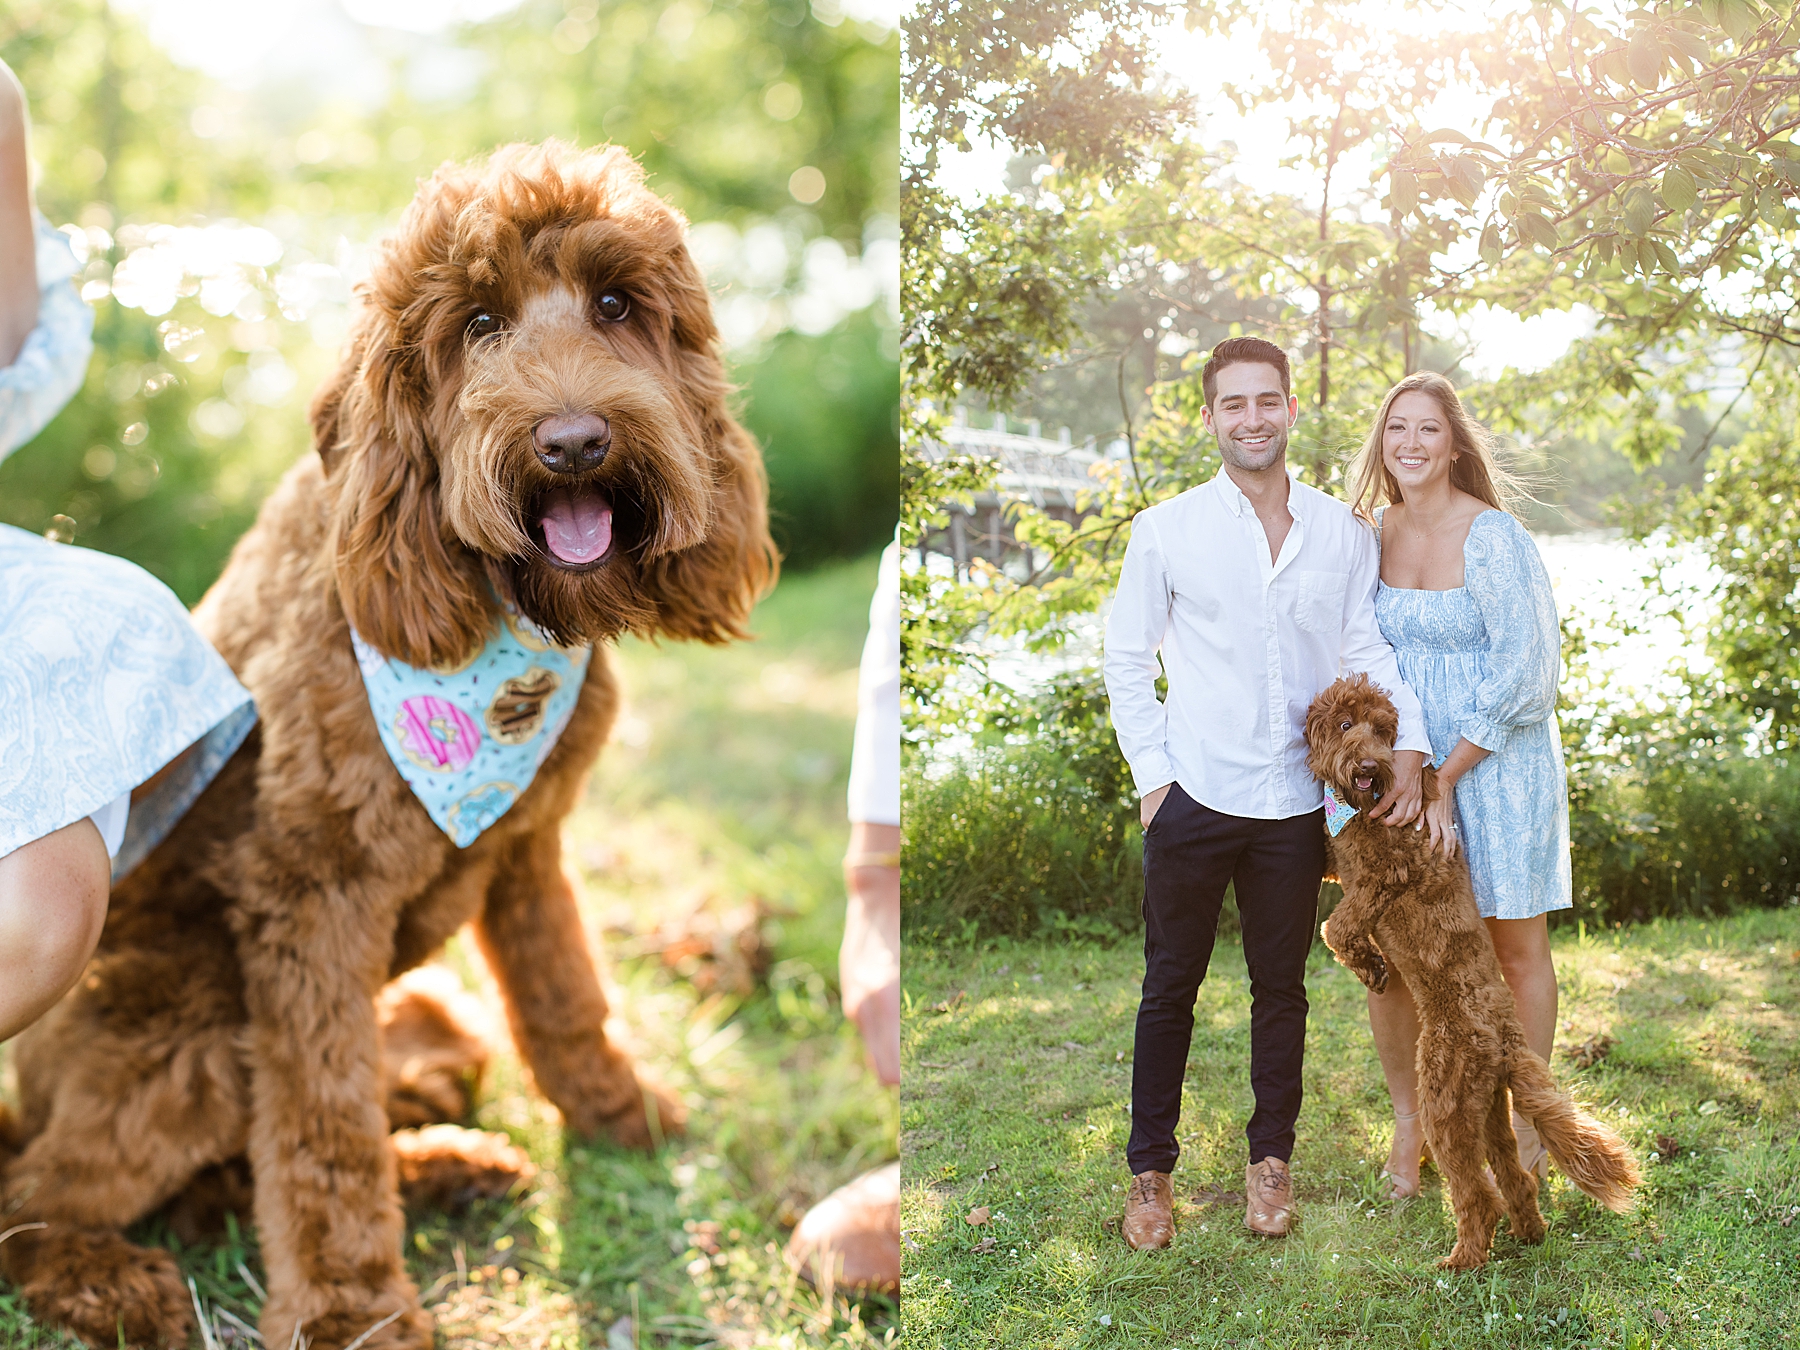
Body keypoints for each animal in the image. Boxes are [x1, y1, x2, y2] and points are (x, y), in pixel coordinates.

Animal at [1303, 680, 1641, 1274]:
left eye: (1384, 730)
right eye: (1345, 725)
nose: (1370, 765)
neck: (1368, 803)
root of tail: (1506, 1040)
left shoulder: (1384, 875)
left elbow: (1337, 926)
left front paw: (1371, 966)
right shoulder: (1345, 864)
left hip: (1446, 1099)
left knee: (1478, 1193)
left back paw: (1462, 1260)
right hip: (1486, 1112)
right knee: (1514, 1179)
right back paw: (1528, 1233)